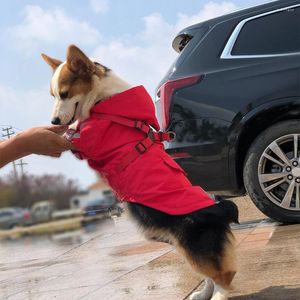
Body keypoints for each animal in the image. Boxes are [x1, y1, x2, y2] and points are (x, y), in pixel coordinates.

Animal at [42, 44, 239, 300]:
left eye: (65, 94)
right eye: (53, 96)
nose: (54, 121)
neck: (103, 100)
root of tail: (219, 209)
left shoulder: (87, 140)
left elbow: (72, 136)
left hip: (191, 242)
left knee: (224, 276)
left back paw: (219, 296)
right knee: (209, 274)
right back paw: (203, 294)